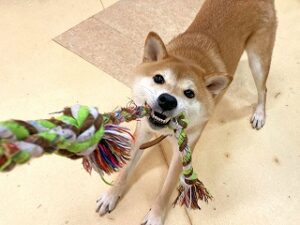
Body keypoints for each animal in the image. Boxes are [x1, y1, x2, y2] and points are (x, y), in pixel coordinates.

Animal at [96, 0, 276, 224]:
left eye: (189, 93)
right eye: (158, 78)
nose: (167, 100)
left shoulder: (181, 152)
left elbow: (165, 190)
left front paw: (155, 216)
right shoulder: (142, 135)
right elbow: (125, 170)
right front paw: (111, 195)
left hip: (258, 61)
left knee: (263, 89)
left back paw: (259, 114)